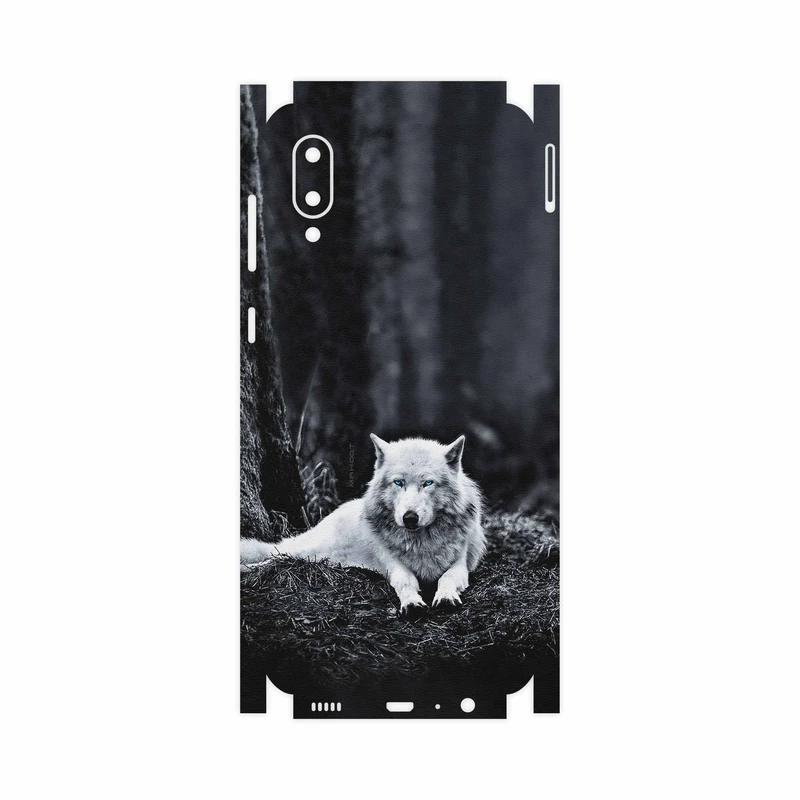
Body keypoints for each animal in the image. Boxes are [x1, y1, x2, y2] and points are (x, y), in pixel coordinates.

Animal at [241, 434, 486, 618]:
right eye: (398, 482)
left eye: (428, 483)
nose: (409, 518)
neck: (420, 542)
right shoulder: (393, 565)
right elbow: (405, 582)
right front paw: (411, 603)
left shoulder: (460, 564)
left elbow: (447, 578)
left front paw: (445, 597)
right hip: (308, 551)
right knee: (276, 555)